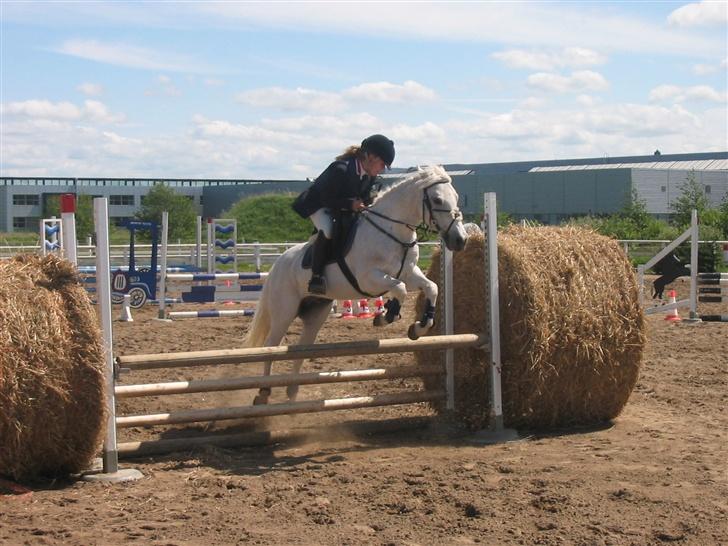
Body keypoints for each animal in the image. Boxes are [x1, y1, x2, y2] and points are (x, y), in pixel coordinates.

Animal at [247, 164, 470, 402]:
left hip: (316, 311)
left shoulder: (409, 274)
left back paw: (292, 390)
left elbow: (431, 287)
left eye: (457, 197)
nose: (460, 240)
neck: (392, 231)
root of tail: (278, 264)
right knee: (271, 345)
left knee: (302, 347)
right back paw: (264, 391)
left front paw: (418, 327)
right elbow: (399, 289)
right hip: (284, 311)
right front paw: (386, 316)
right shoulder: (369, 278)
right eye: (437, 199)